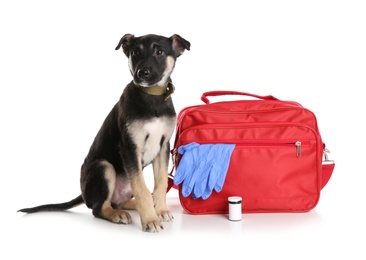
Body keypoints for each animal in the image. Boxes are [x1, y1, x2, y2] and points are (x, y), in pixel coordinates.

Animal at [19, 33, 192, 233]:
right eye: (135, 52)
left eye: (160, 52)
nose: (142, 73)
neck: (152, 96)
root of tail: (84, 194)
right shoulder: (129, 147)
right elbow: (141, 188)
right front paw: (150, 220)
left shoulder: (162, 146)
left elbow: (161, 182)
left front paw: (161, 210)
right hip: (104, 166)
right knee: (99, 208)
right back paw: (118, 214)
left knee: (118, 201)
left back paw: (139, 206)